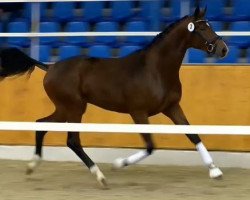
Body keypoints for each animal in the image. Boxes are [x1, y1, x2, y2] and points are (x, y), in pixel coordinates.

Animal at [0, 6, 228, 187]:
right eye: (201, 28)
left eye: (209, 25)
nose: (223, 49)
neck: (155, 70)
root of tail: (49, 67)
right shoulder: (138, 113)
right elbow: (150, 146)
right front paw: (118, 164)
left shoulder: (172, 107)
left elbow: (193, 135)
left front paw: (215, 171)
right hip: (74, 108)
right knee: (72, 140)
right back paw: (100, 176)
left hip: (65, 108)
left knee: (41, 125)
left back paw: (32, 166)